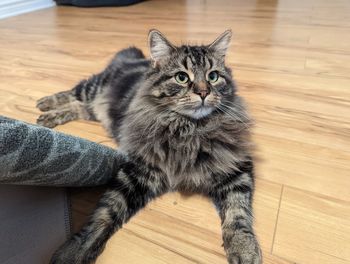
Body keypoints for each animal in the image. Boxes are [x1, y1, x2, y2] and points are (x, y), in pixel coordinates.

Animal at [37, 29, 262, 264]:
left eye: (213, 76)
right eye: (182, 77)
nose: (203, 92)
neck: (188, 130)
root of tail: (135, 58)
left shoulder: (236, 167)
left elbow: (238, 213)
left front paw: (244, 249)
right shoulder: (138, 171)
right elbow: (104, 214)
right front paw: (75, 250)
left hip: (95, 109)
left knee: (80, 107)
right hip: (93, 88)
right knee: (73, 92)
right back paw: (46, 106)